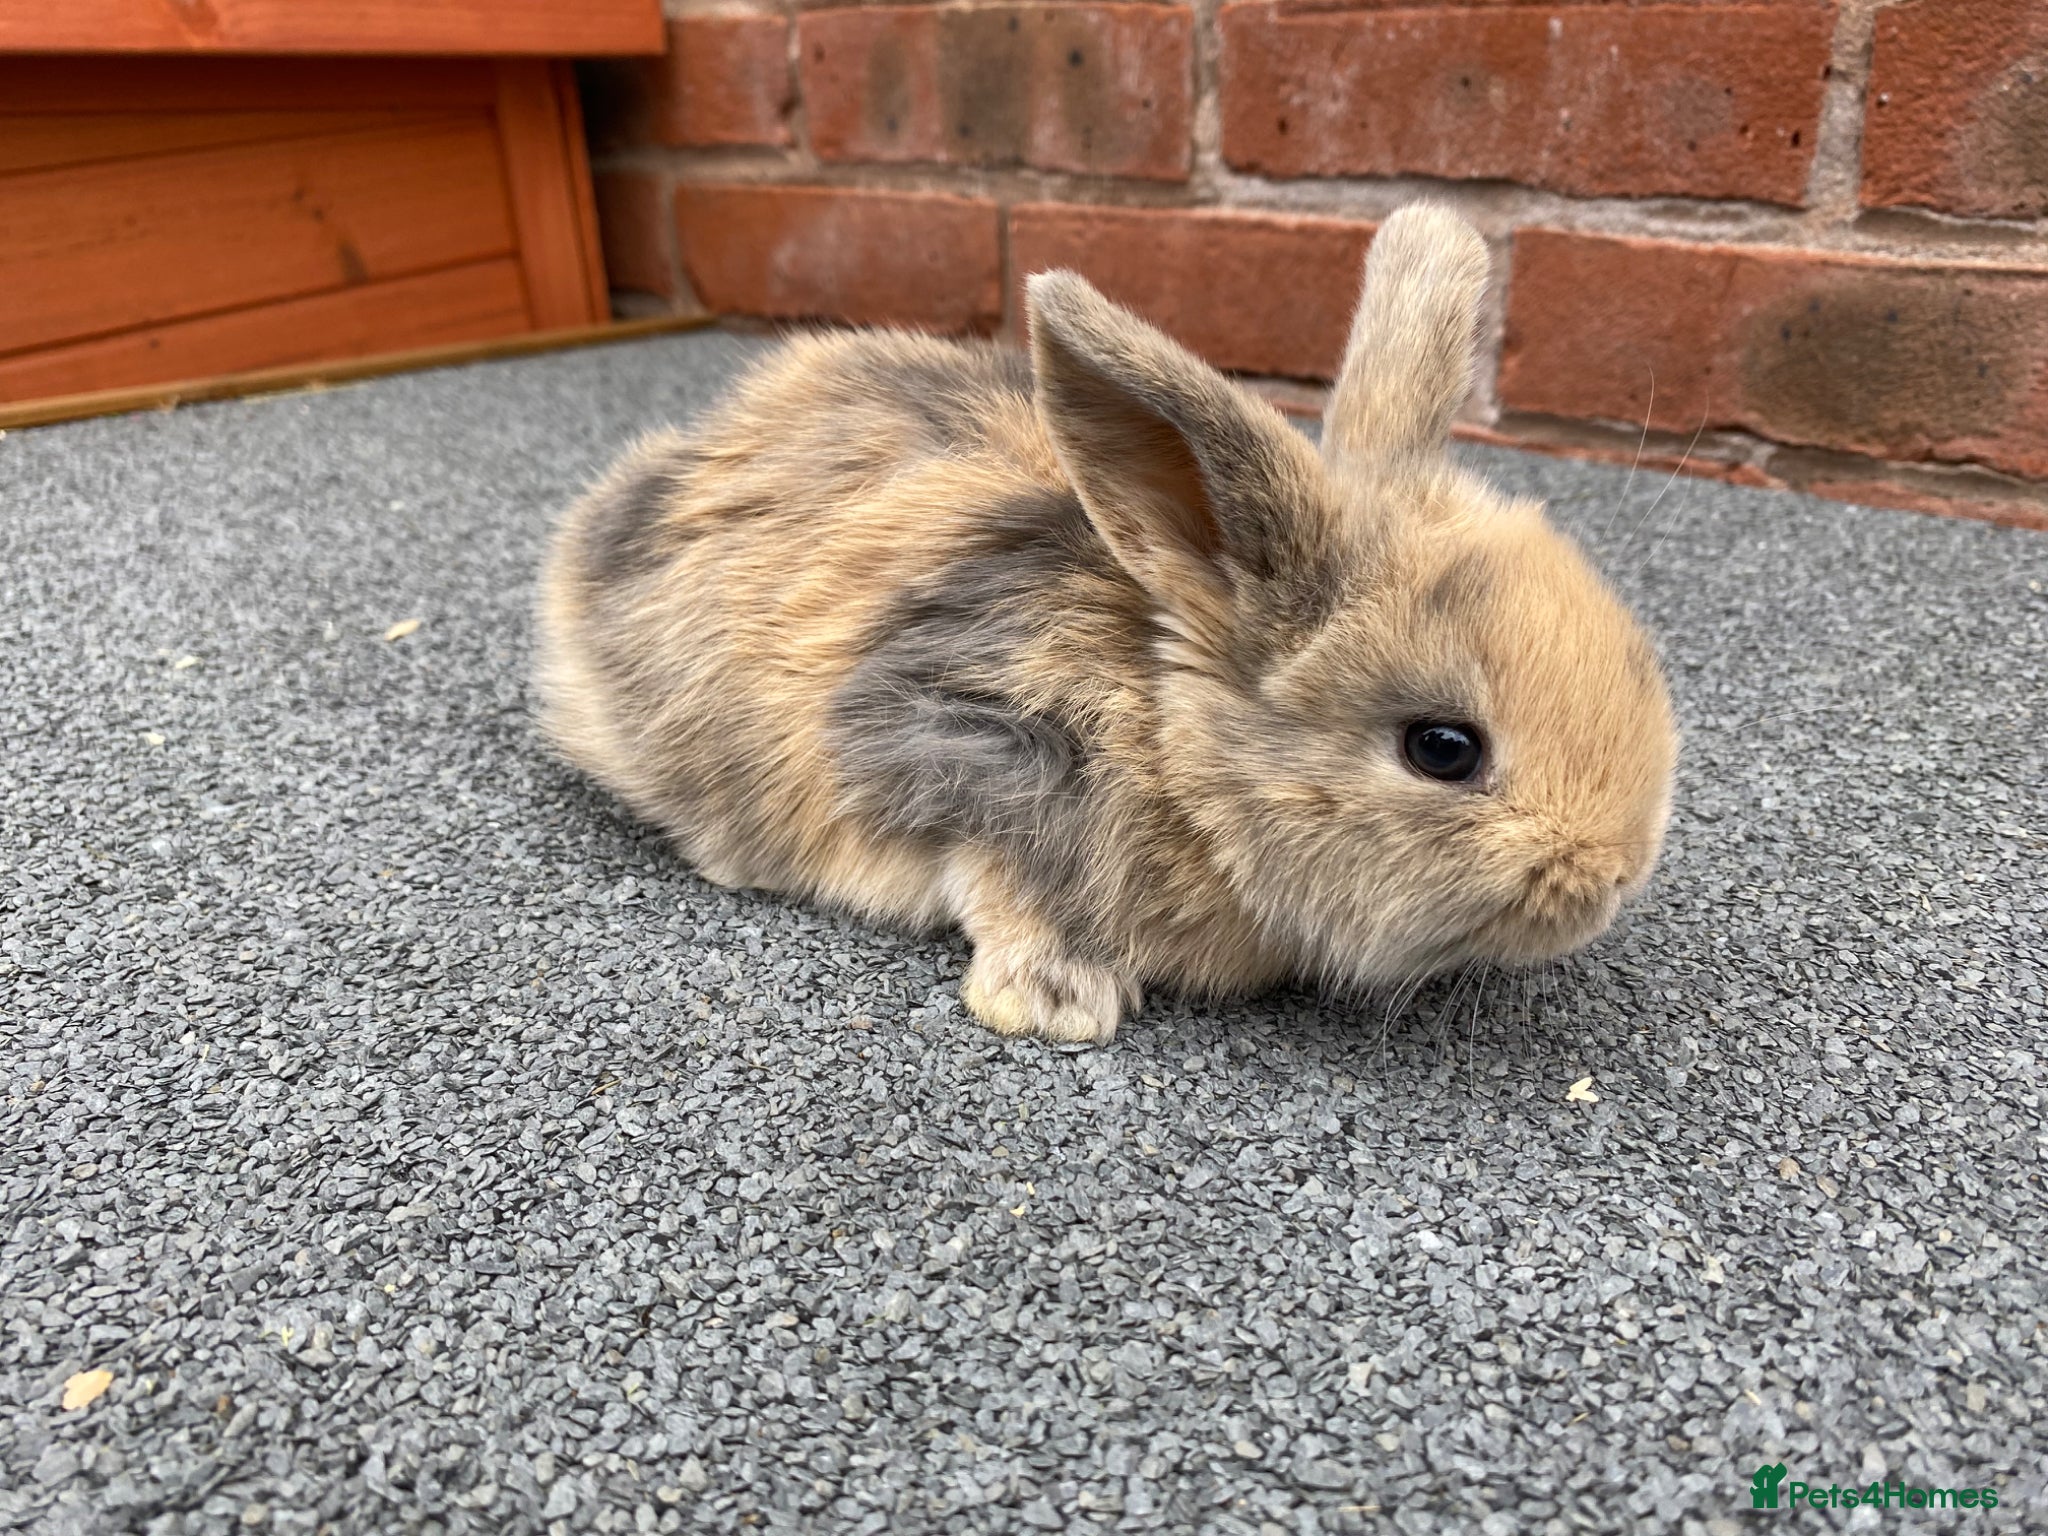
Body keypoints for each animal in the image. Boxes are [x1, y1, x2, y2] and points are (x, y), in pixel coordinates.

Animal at [535, 204, 1677, 1045]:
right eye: (1442, 748)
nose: (1616, 879)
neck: (1164, 742)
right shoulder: (955, 743)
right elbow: (994, 881)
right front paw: (1052, 1005)